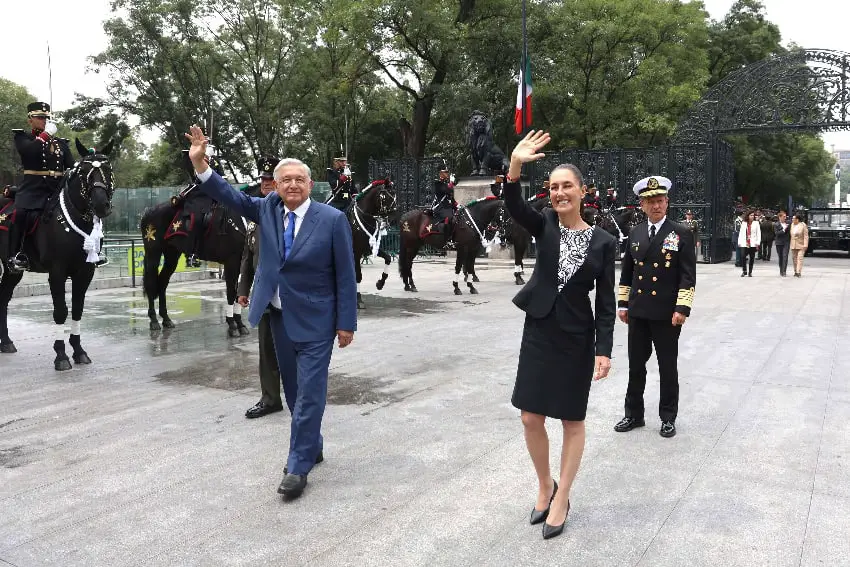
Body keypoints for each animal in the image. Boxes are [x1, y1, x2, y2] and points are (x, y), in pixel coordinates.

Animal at [0, 140, 116, 370]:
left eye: (107, 169)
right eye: (84, 172)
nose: (101, 205)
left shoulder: (85, 272)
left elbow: (78, 309)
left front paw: (79, 351)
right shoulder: (57, 272)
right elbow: (61, 310)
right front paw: (61, 355)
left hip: (13, 271)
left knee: (3, 298)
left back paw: (6, 342)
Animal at [139, 180, 248, 336]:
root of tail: (148, 211)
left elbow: (240, 292)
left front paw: (240, 324)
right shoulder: (232, 261)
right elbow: (231, 293)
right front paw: (232, 325)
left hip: (172, 255)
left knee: (163, 282)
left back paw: (166, 319)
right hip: (153, 252)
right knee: (151, 282)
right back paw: (154, 320)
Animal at [346, 180, 396, 308]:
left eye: (395, 194)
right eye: (385, 196)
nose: (392, 218)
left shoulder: (370, 248)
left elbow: (388, 258)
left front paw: (380, 283)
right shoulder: (356, 252)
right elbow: (358, 275)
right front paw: (358, 300)